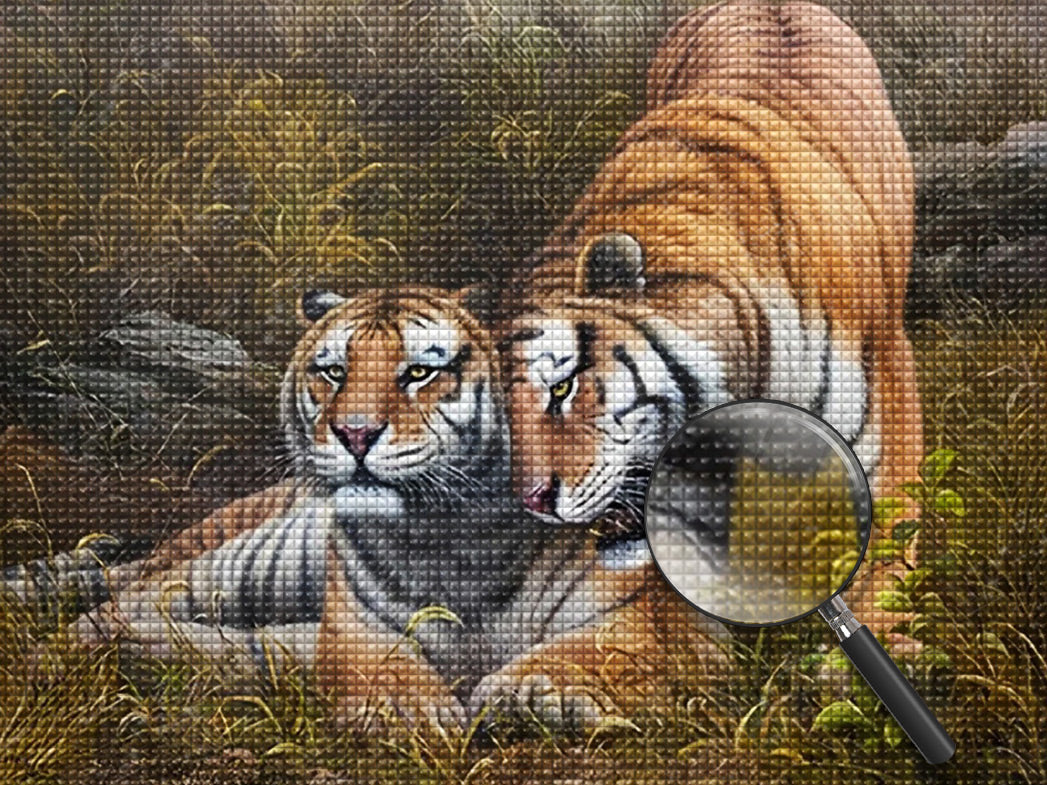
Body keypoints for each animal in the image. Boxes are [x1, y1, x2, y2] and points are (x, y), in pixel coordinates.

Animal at [62, 287, 728, 736]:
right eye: (333, 372)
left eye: (419, 373)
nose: (355, 433)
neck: (458, 539)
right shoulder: (359, 626)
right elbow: (383, 667)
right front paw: (410, 711)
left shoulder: (643, 621)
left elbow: (589, 654)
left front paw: (530, 691)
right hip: (246, 563)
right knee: (129, 595)